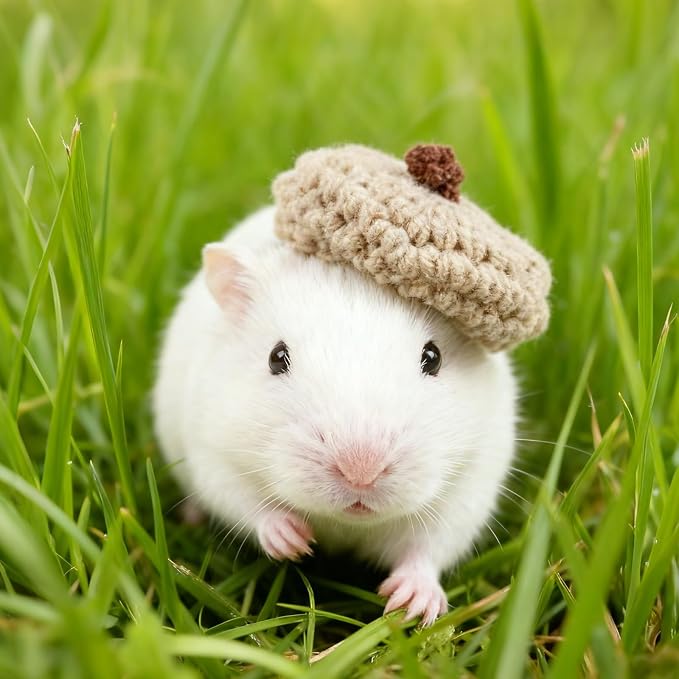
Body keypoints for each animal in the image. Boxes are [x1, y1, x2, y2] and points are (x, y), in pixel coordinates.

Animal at [153, 206, 516, 625]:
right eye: (277, 357)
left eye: (433, 357)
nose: (361, 472)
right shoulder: (213, 455)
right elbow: (249, 506)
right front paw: (295, 542)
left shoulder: (469, 488)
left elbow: (428, 551)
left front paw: (410, 607)